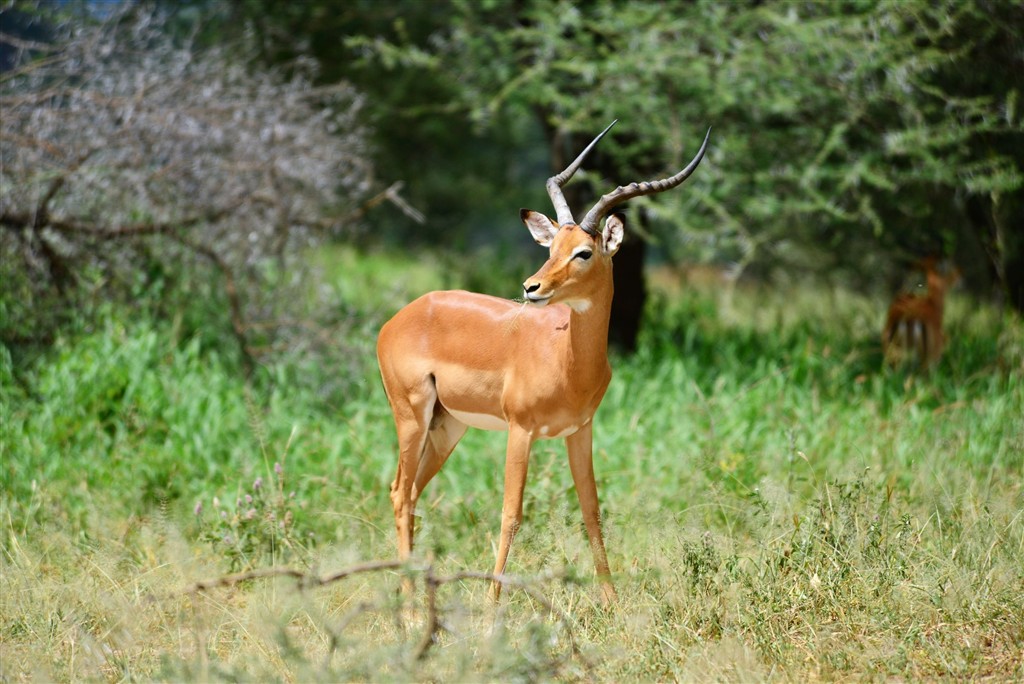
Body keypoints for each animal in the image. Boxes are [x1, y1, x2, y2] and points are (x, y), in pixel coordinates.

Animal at [376, 121, 710, 604]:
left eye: (583, 252)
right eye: (552, 248)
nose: (531, 287)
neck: (568, 363)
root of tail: (401, 317)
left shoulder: (579, 431)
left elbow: (592, 511)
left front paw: (612, 604)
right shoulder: (520, 430)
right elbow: (511, 514)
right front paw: (492, 608)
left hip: (447, 426)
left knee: (412, 493)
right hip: (411, 416)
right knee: (400, 493)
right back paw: (410, 609)